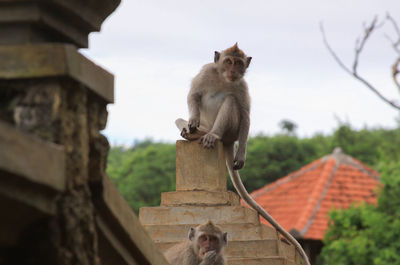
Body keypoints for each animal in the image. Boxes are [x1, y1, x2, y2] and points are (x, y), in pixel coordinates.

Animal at [177, 42, 310, 264]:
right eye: (228, 61)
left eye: (238, 63)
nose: (233, 70)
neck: (223, 78)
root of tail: (228, 142)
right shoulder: (206, 72)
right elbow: (194, 95)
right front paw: (193, 120)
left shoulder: (242, 86)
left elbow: (246, 115)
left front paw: (241, 155)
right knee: (181, 120)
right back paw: (192, 133)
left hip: (231, 131)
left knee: (230, 102)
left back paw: (213, 136)